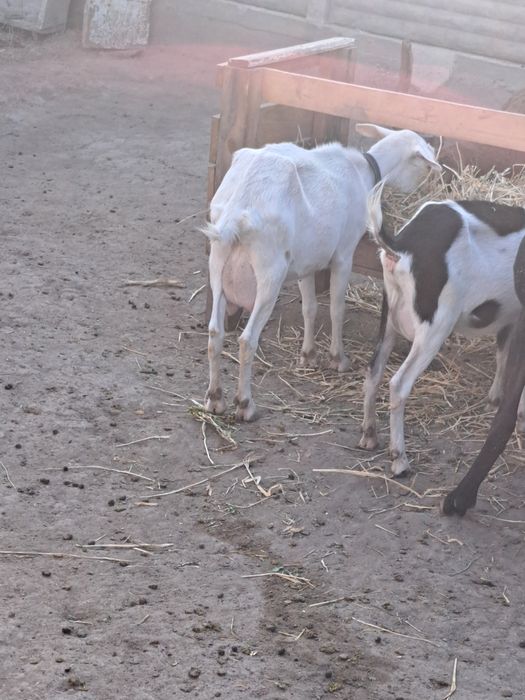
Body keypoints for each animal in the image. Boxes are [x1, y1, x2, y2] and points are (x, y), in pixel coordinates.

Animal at [204, 124, 440, 421]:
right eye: (424, 162)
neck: (365, 170)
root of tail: (240, 208)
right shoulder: (344, 254)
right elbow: (336, 308)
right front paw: (338, 358)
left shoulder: (307, 260)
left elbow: (310, 308)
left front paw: (308, 355)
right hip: (269, 273)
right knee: (247, 340)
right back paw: (245, 404)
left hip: (218, 262)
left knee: (215, 332)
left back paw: (215, 399)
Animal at [362, 185, 525, 476]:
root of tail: (401, 246)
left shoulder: (511, 318)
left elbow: (503, 355)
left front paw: (495, 399)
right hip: (435, 325)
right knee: (398, 383)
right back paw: (400, 460)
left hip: (389, 314)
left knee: (373, 370)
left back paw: (369, 435)